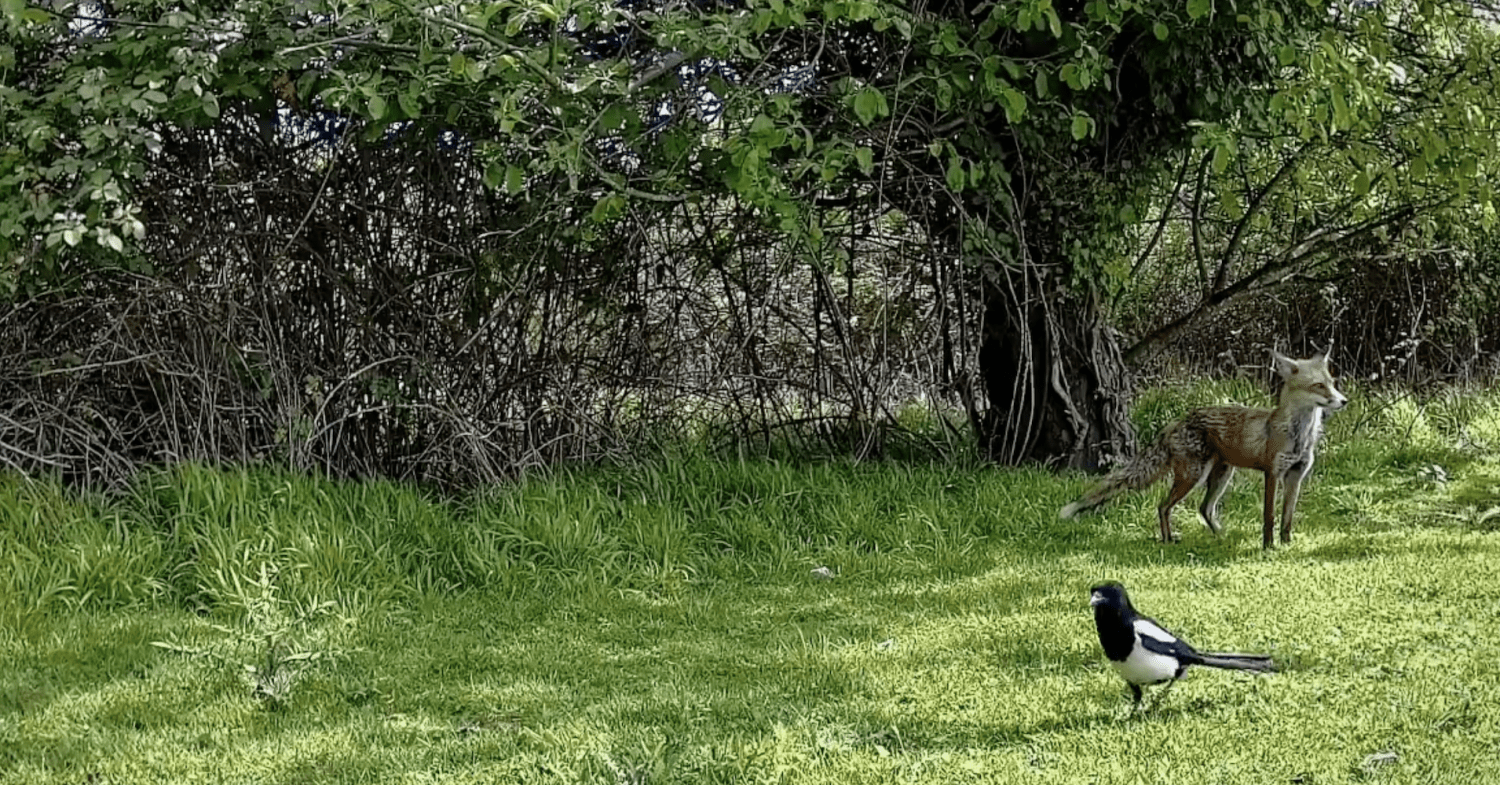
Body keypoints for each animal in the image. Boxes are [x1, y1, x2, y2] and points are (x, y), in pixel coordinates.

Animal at [1059, 348, 1347, 548]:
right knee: (1163, 506)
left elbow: (1287, 518)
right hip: (1193, 477)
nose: (1344, 401)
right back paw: (1168, 539)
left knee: (1204, 509)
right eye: (1319, 386)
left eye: (1332, 383)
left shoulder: (1295, 475)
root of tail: (1176, 421)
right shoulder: (1273, 473)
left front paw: (1286, 545)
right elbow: (1269, 516)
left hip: (1221, 475)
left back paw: (1220, 536)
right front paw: (1268, 547)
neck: (1300, 436)